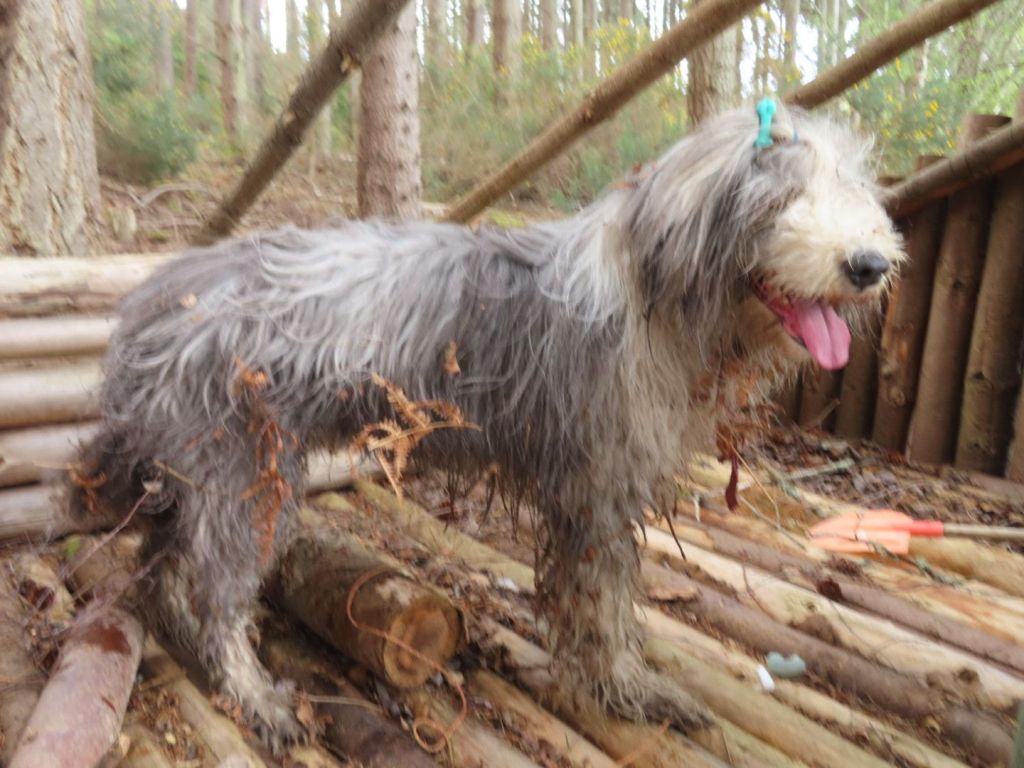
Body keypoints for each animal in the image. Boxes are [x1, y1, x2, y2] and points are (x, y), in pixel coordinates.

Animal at [71, 102, 903, 750]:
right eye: (781, 198)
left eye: (852, 187)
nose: (870, 264)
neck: (655, 290)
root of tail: (152, 299)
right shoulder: (596, 492)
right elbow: (602, 604)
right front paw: (624, 689)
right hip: (247, 477)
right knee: (211, 589)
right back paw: (255, 696)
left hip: (201, 473)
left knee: (164, 564)